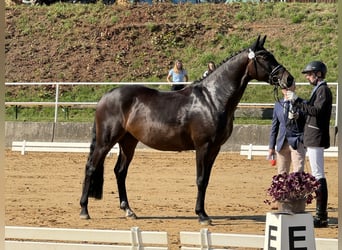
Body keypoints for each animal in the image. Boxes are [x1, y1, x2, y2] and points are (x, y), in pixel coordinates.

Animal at [79, 35, 294, 225]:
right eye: (264, 57)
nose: (289, 79)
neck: (213, 99)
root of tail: (106, 96)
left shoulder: (215, 149)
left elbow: (206, 180)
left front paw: (203, 213)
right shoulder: (203, 146)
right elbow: (200, 179)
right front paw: (202, 215)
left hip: (128, 142)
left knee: (120, 172)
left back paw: (129, 210)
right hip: (106, 141)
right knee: (91, 167)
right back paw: (84, 210)